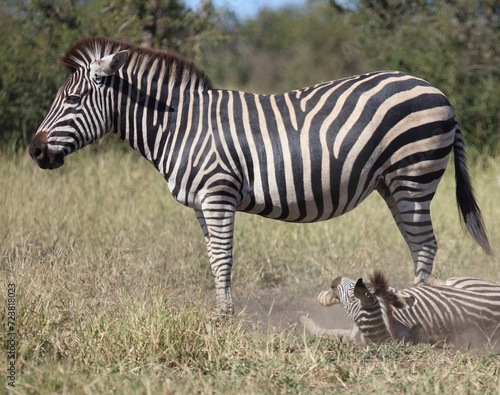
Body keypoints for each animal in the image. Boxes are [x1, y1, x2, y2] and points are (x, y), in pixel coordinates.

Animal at [29, 38, 490, 316]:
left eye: (73, 99)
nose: (34, 151)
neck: (180, 126)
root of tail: (439, 91)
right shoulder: (202, 203)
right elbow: (212, 256)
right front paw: (220, 313)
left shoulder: (218, 193)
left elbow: (223, 257)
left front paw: (225, 319)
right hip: (392, 185)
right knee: (419, 244)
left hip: (414, 176)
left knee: (425, 245)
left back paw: (418, 310)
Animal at [296, 272, 500, 346]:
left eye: (354, 294)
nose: (334, 281)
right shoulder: (354, 335)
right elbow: (327, 332)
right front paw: (304, 319)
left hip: (467, 282)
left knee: (450, 281)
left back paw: (432, 279)